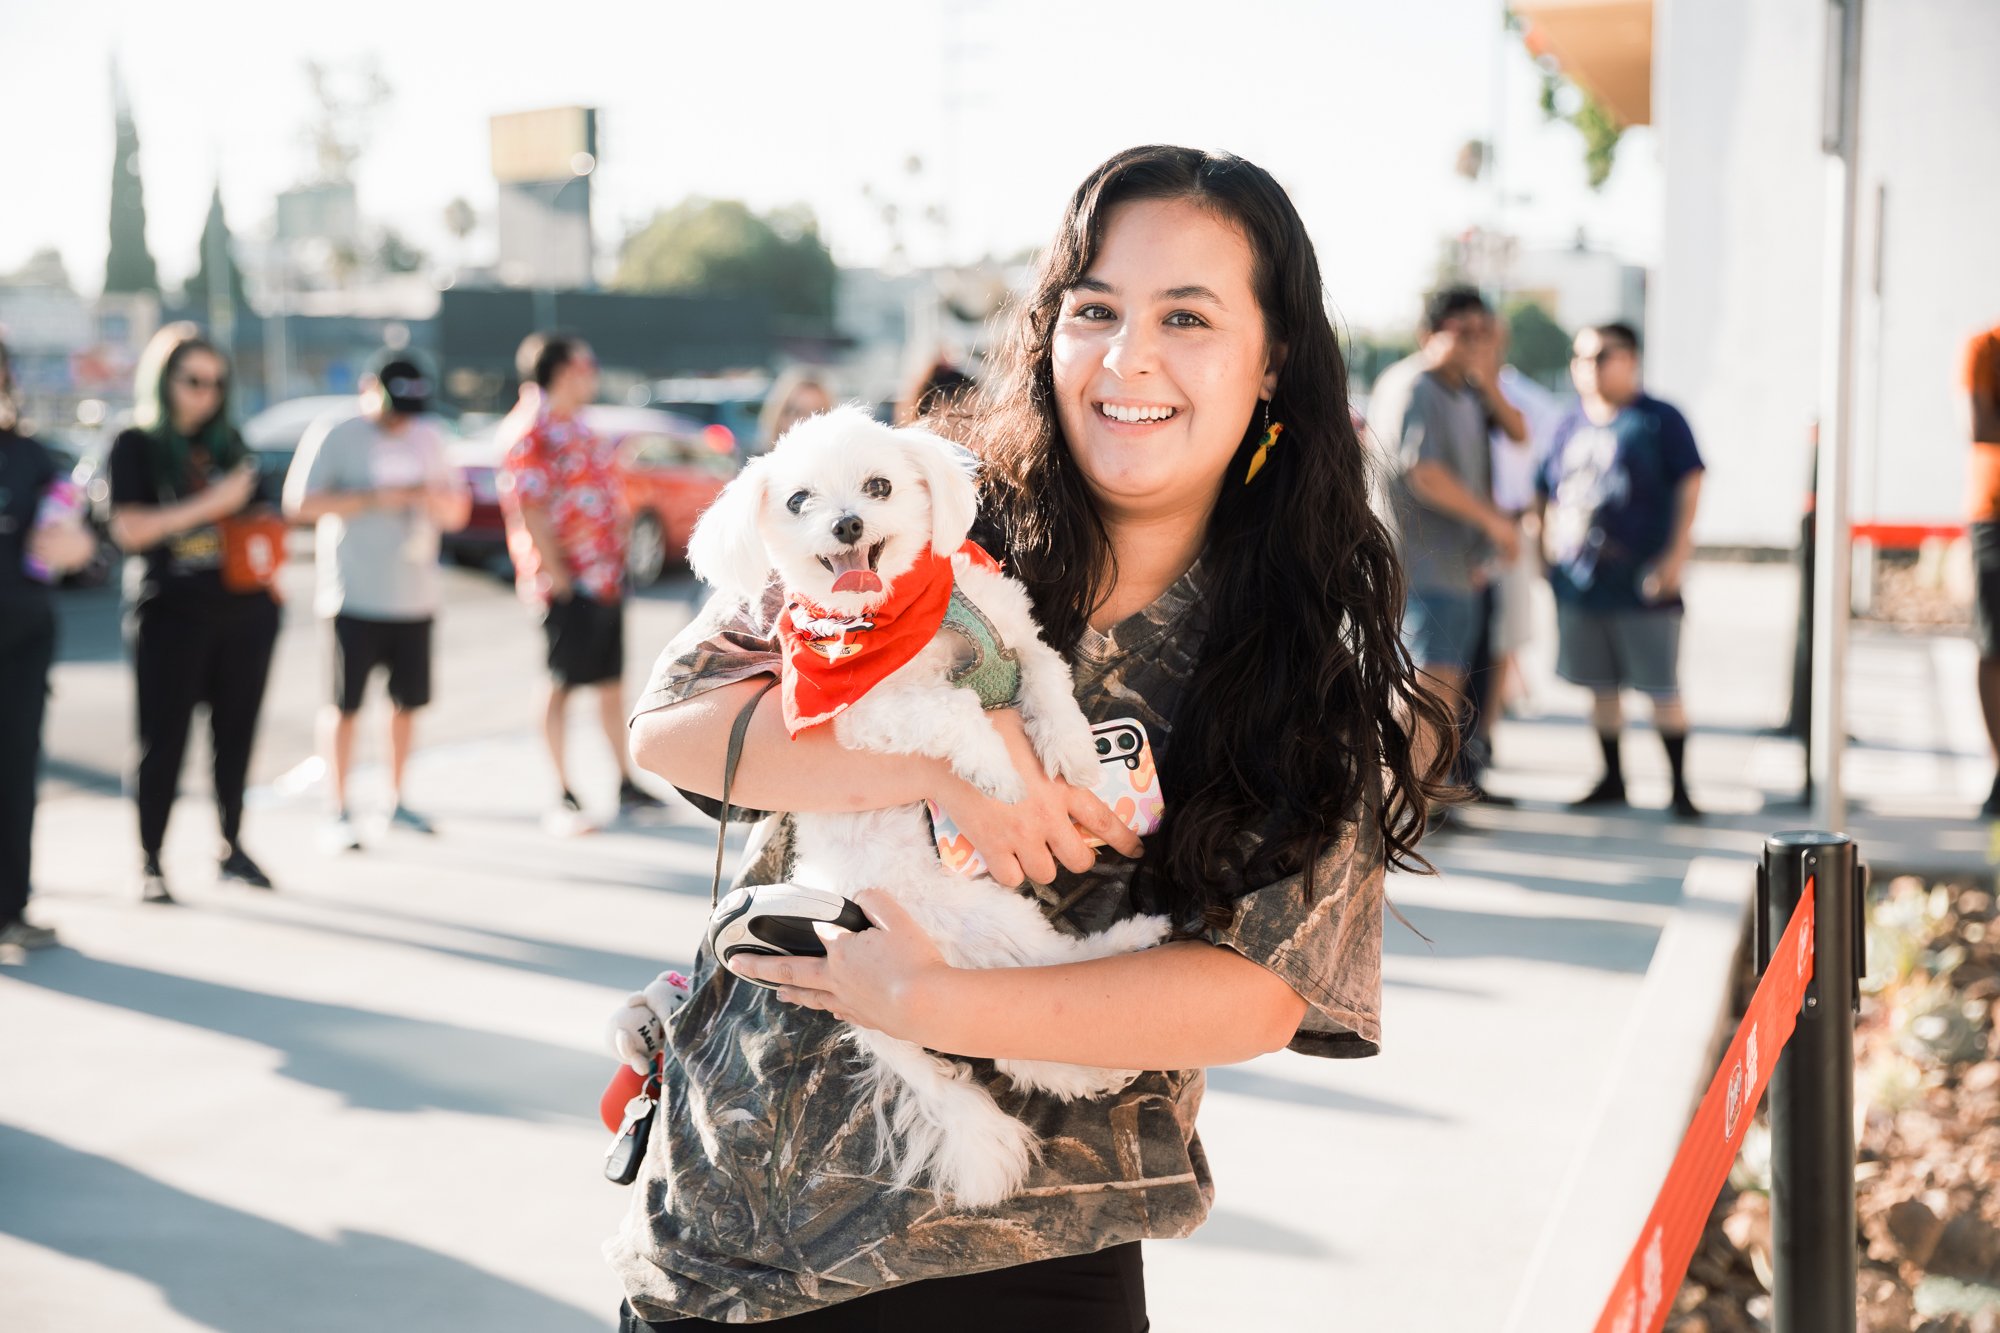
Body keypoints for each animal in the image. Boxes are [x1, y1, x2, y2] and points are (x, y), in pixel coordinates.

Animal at [688, 402, 1168, 1200]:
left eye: (879, 485)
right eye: (799, 500)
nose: (848, 523)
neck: (908, 617)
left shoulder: (1014, 632)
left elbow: (1048, 680)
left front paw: (1071, 749)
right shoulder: (868, 714)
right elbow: (957, 711)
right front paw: (998, 773)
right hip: (988, 919)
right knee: (1029, 1009)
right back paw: (1124, 967)